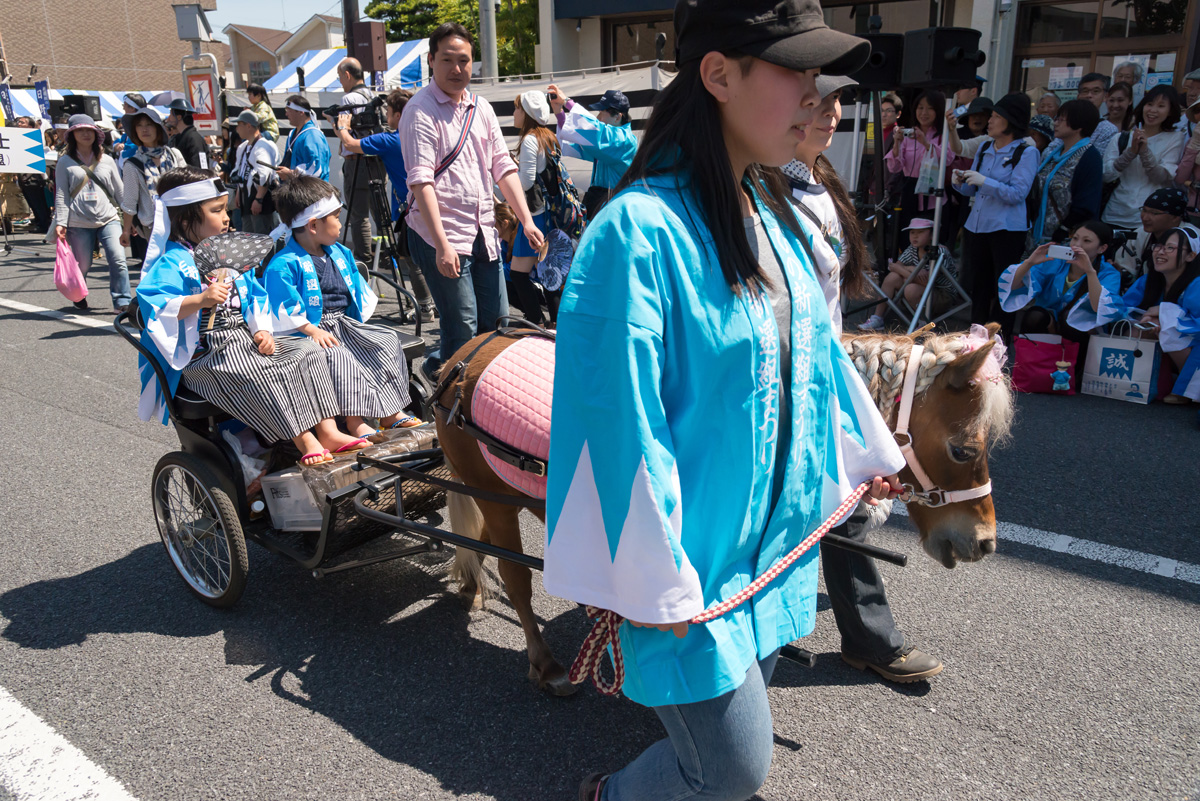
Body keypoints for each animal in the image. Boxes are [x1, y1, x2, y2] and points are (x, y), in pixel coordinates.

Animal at [432, 323, 1012, 695]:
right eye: (964, 449)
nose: (985, 541)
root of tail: (463, 354)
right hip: (489, 488)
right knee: (516, 574)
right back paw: (544, 662)